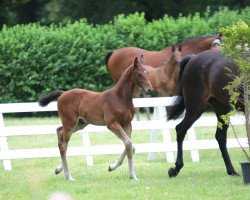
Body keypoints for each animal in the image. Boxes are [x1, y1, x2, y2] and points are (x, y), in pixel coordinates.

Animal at [165, 49, 243, 177]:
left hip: (222, 108)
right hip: (195, 108)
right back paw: (176, 169)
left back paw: (232, 171)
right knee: (180, 129)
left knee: (220, 137)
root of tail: (193, 58)